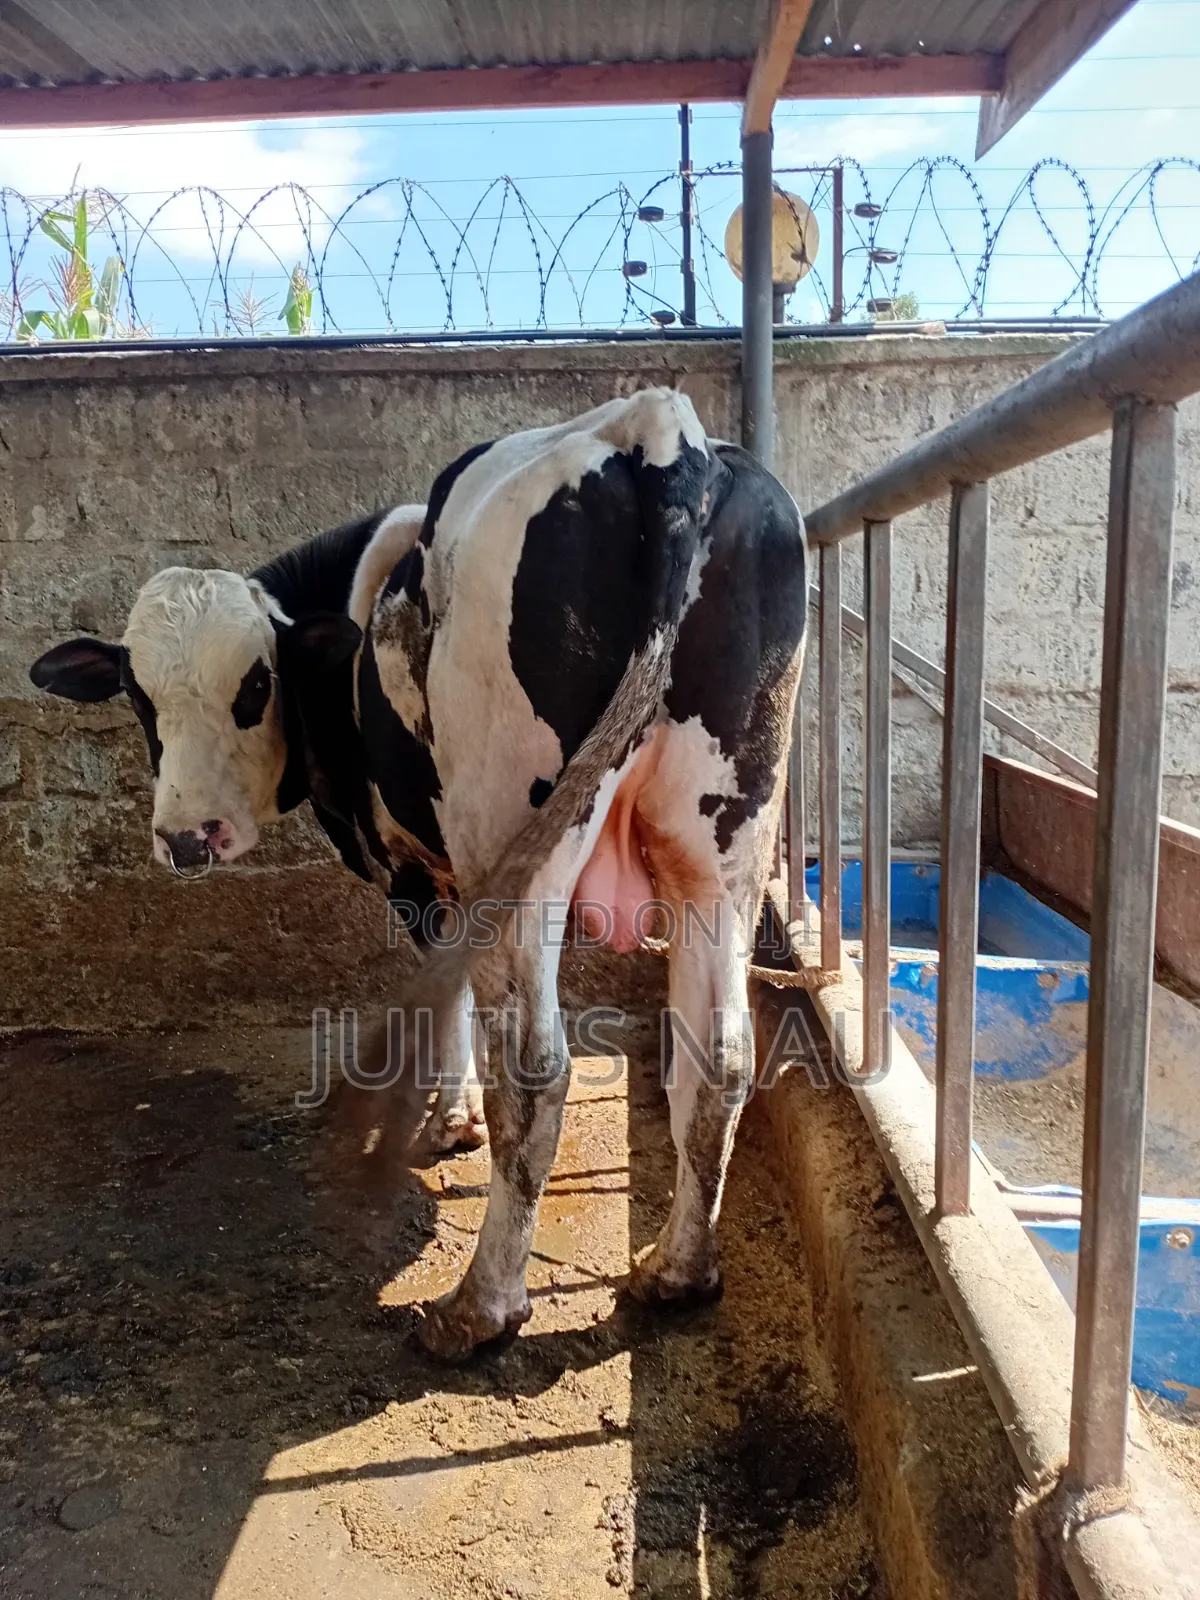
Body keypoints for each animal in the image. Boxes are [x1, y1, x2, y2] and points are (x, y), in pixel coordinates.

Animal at [30, 388, 808, 1363]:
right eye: (138, 696)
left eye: (256, 685)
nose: (186, 836)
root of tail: (659, 432)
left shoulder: (412, 867)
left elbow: (450, 996)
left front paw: (450, 1118)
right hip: (725, 847)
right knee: (722, 1053)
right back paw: (678, 1272)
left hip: (517, 838)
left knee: (537, 1066)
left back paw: (480, 1307)